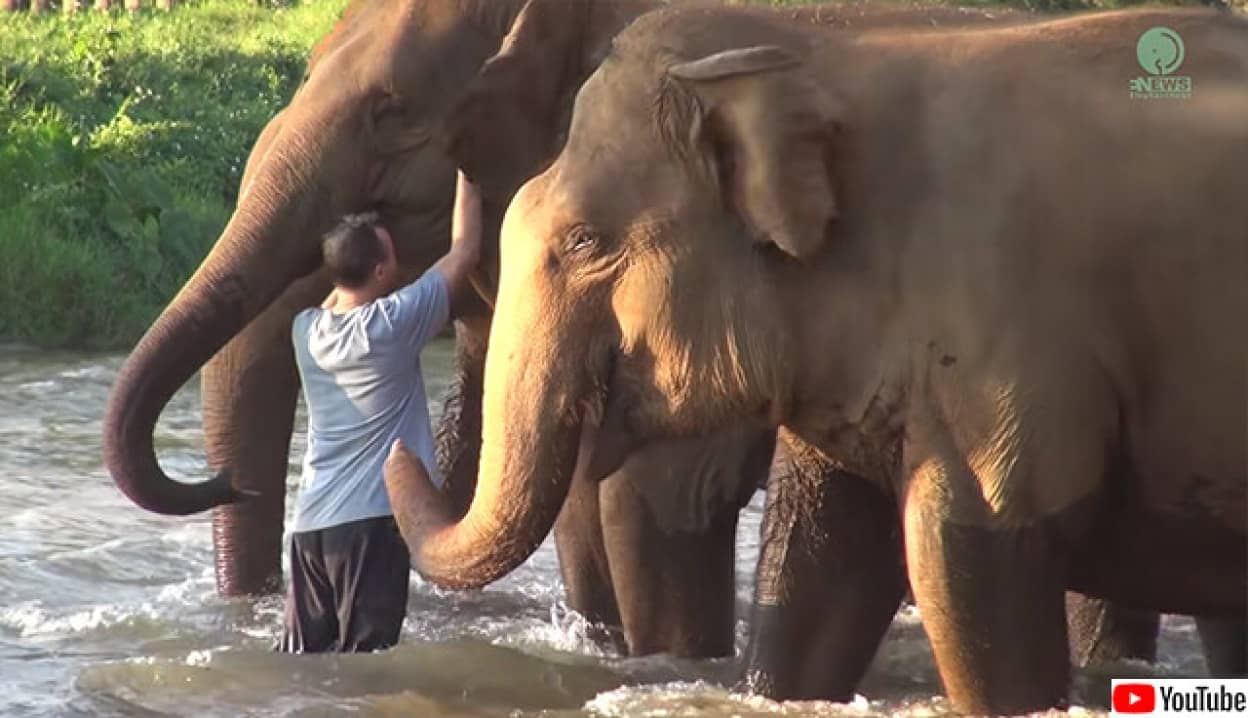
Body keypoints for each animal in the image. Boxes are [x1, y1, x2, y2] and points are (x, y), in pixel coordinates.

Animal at [384, 5, 1243, 714]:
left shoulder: (1008, 323)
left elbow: (967, 549)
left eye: (585, 241)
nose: (397, 445)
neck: (819, 51)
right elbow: (820, 559)